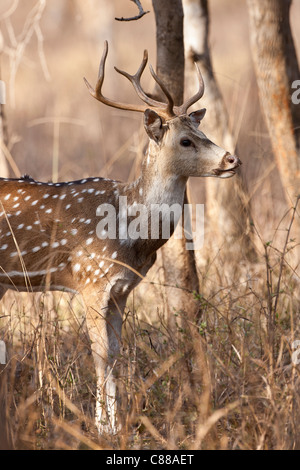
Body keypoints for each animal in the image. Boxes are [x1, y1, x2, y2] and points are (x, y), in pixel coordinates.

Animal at [0, 41, 240, 434]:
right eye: (186, 140)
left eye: (203, 132)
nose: (232, 160)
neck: (131, 234)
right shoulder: (90, 280)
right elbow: (99, 354)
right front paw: (102, 427)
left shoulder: (121, 289)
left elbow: (114, 352)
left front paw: (116, 422)